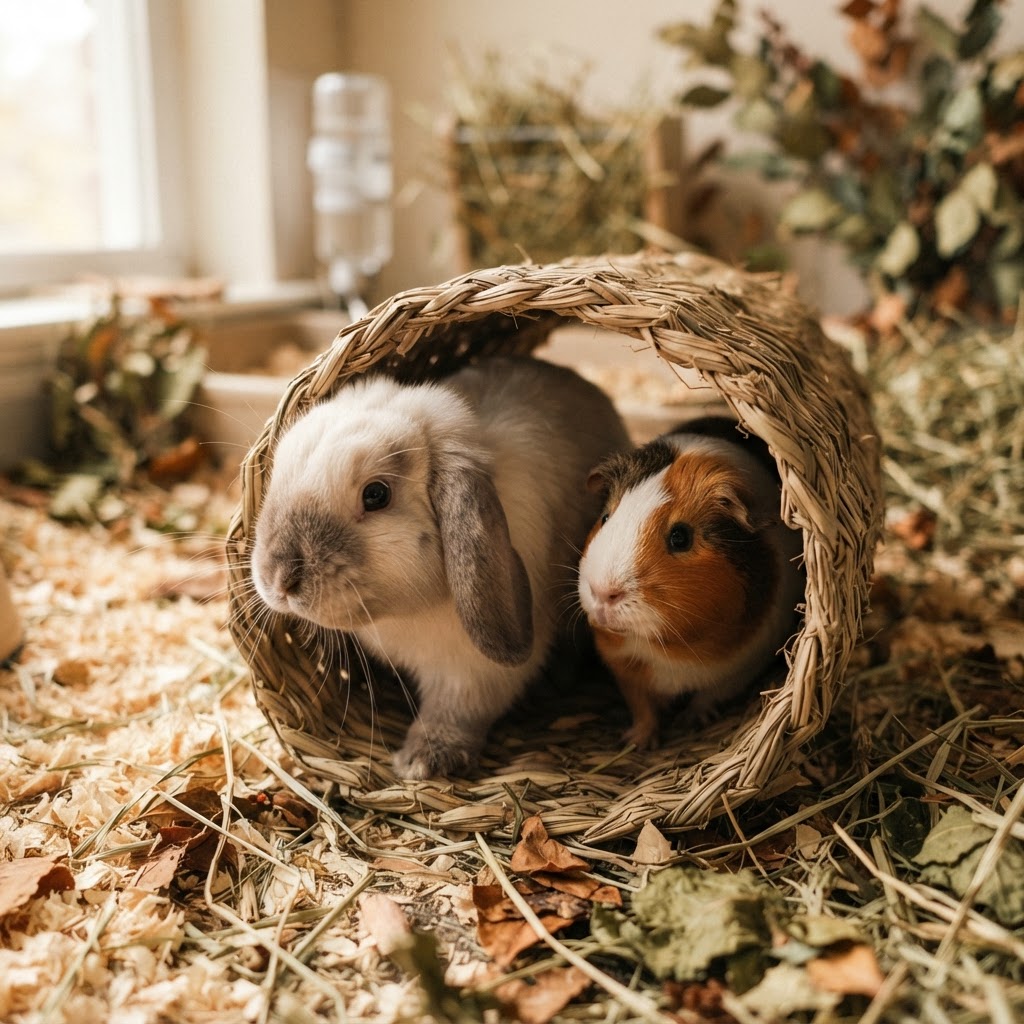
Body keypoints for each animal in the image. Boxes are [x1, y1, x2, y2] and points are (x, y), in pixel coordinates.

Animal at [250, 355, 632, 779]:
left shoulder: (471, 673)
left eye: (376, 494)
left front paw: (422, 761)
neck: (403, 615)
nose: (280, 579)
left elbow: (454, 712)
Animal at [577, 415, 805, 749]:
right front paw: (638, 742)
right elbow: (643, 708)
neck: (666, 650)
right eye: (605, 517)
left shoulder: (740, 667)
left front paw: (690, 722)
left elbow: (707, 696)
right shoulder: (625, 670)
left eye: (680, 537)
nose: (603, 593)